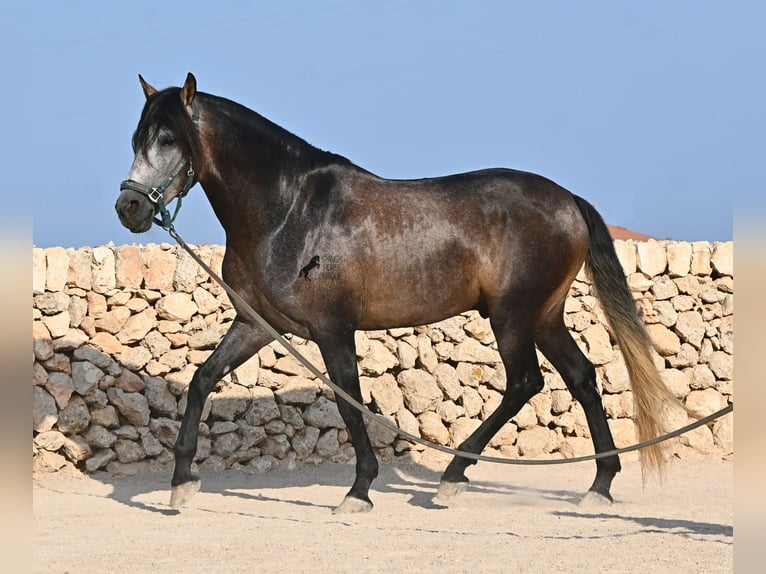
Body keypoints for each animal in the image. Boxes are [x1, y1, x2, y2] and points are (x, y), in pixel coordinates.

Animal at [115, 73, 678, 513]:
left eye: (170, 139)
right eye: (137, 138)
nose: (129, 209)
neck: (290, 210)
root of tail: (568, 200)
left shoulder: (332, 329)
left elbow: (349, 402)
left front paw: (359, 490)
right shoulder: (258, 324)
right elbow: (201, 381)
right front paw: (181, 483)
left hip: (512, 318)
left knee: (524, 383)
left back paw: (453, 477)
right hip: (544, 317)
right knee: (581, 379)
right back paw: (599, 486)